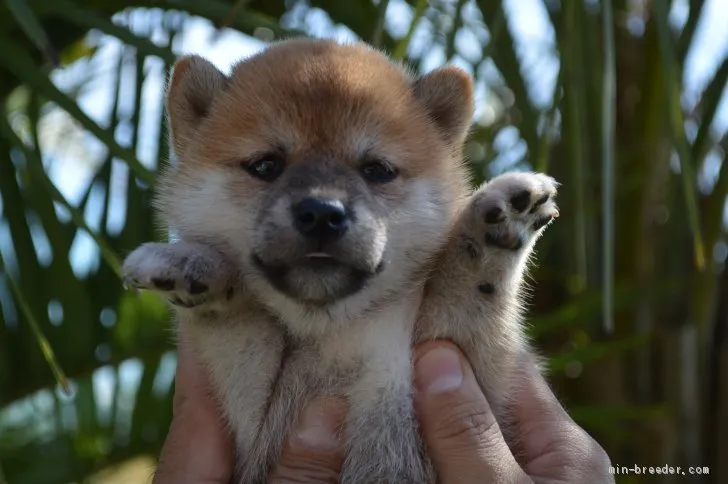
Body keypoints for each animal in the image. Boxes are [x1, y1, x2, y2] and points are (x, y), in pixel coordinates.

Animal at [122, 36, 560, 482]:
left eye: (377, 170)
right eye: (265, 165)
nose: (321, 213)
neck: (336, 335)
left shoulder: (457, 361)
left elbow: (469, 290)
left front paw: (494, 229)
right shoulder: (250, 423)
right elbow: (240, 323)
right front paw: (195, 268)